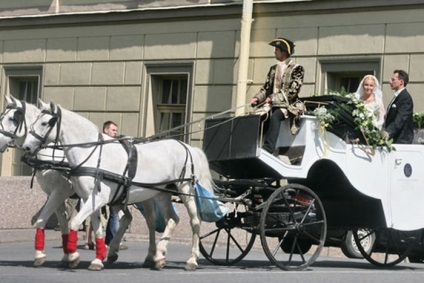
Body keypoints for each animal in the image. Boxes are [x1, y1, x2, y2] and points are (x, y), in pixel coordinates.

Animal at [21, 100, 214, 270]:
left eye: (44, 123)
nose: (27, 147)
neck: (92, 154)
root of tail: (187, 146)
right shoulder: (89, 199)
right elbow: (97, 227)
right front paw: (98, 258)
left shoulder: (96, 197)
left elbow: (74, 222)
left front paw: (73, 256)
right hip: (160, 193)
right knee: (172, 219)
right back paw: (158, 255)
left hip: (185, 188)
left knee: (195, 221)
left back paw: (191, 259)